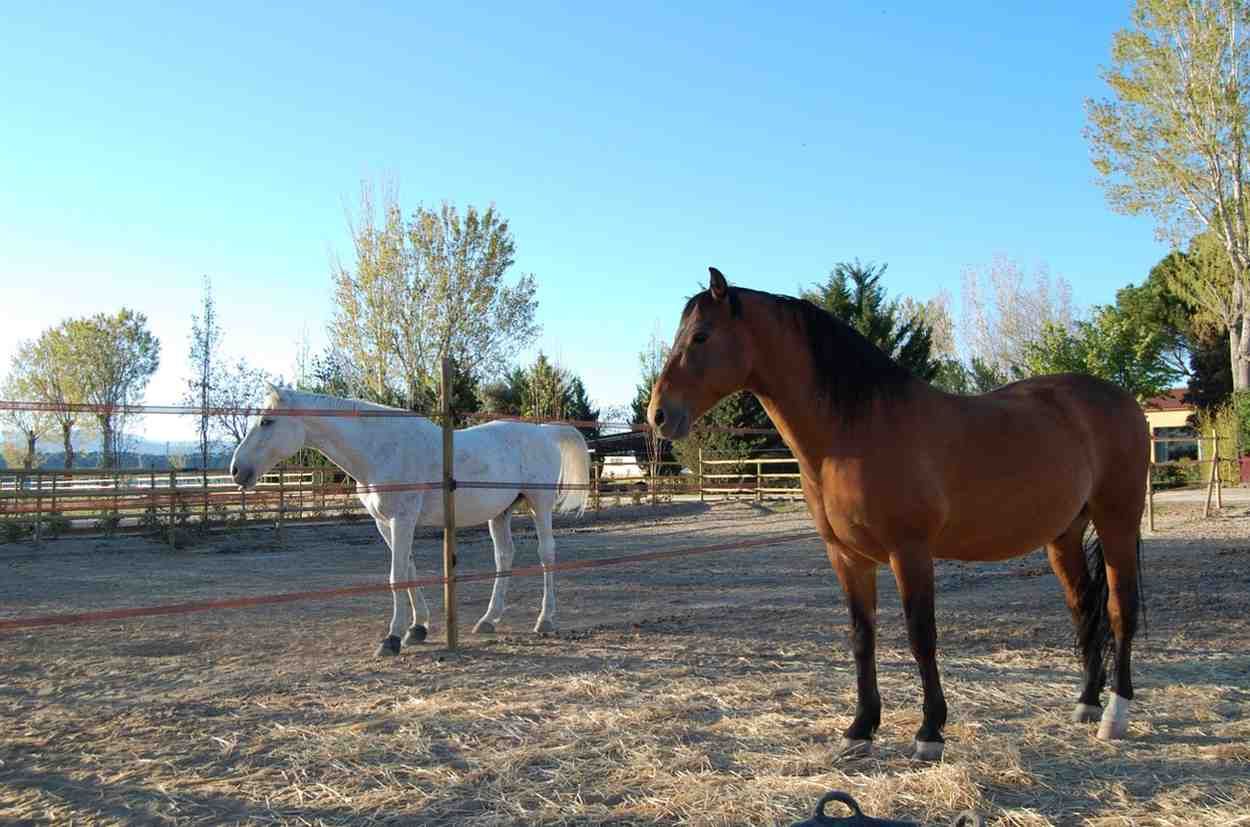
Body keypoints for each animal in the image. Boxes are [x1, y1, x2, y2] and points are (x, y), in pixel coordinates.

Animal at [229, 386, 590, 655]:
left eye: (267, 421)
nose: (236, 470)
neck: (379, 449)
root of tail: (543, 432)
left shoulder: (401, 520)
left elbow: (396, 576)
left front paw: (391, 639)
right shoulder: (386, 523)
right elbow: (409, 570)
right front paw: (417, 628)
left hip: (539, 505)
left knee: (546, 555)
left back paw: (545, 620)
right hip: (499, 513)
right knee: (504, 556)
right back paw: (489, 620)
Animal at [648, 268, 1148, 761]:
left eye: (701, 336)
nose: (658, 415)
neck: (853, 431)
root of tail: (1121, 400)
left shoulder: (909, 552)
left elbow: (920, 635)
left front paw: (930, 732)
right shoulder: (847, 557)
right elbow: (862, 638)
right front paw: (860, 728)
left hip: (1118, 521)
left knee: (1120, 608)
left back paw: (1114, 715)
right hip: (1063, 535)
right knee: (1083, 608)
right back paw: (1086, 702)